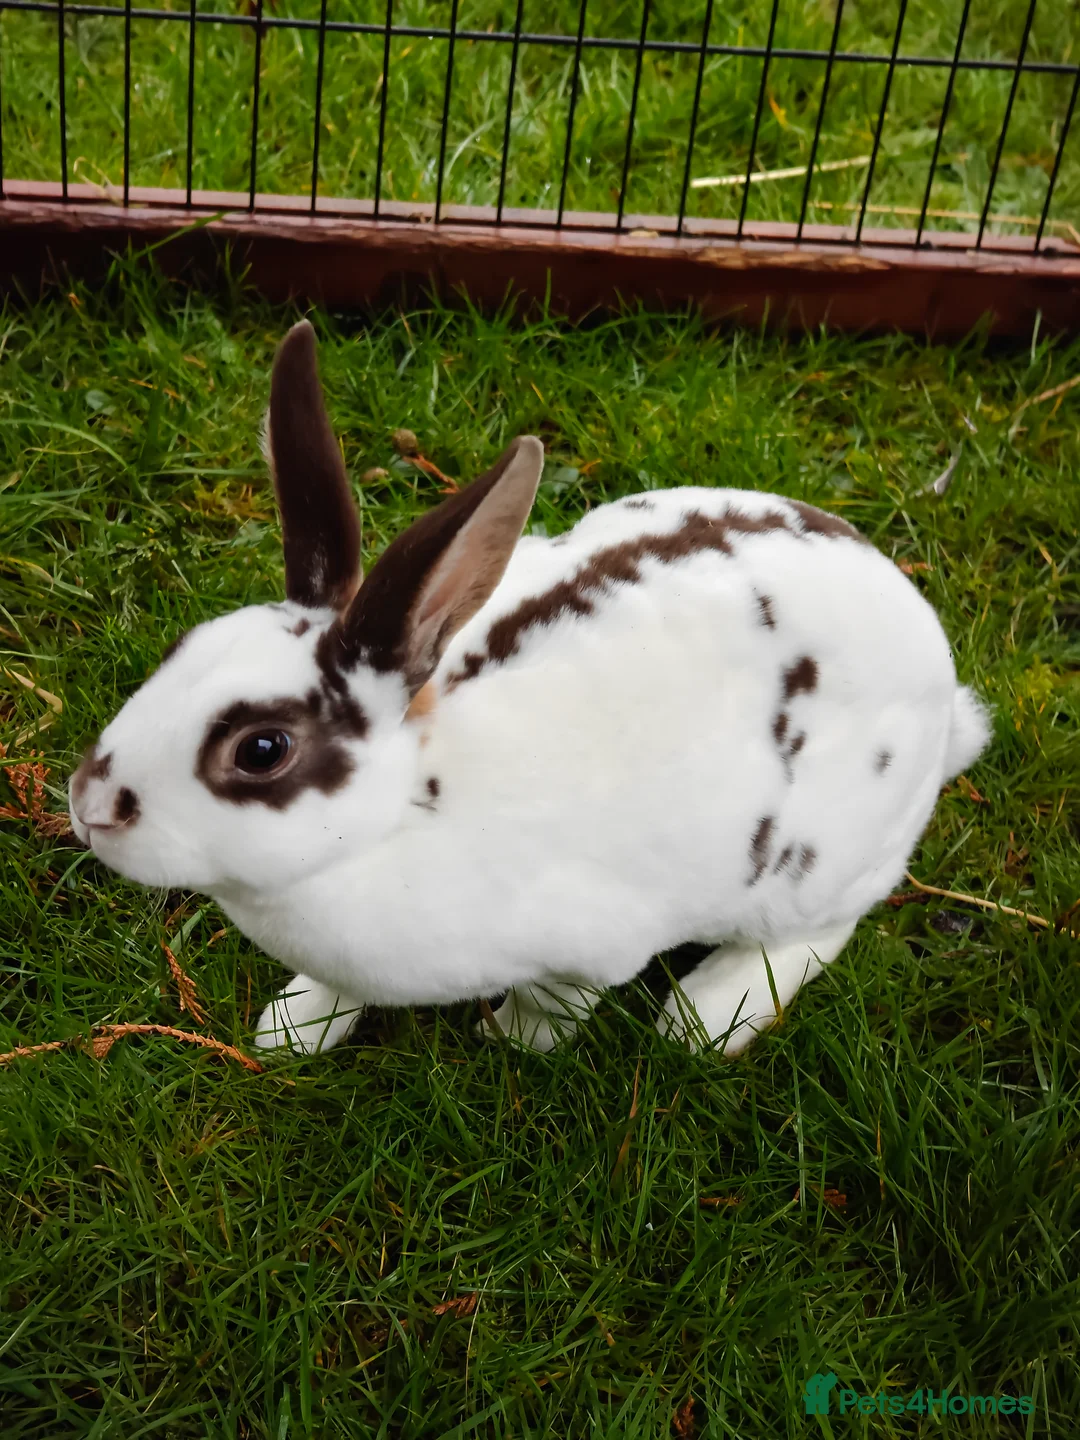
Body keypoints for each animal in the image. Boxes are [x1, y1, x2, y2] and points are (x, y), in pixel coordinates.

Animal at [69, 320, 990, 1058]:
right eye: (182, 648)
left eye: (263, 749)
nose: (90, 803)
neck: (403, 811)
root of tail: (942, 689)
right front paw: (291, 1033)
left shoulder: (592, 945)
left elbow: (557, 1004)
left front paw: (511, 1041)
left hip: (819, 868)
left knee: (824, 929)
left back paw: (702, 1019)